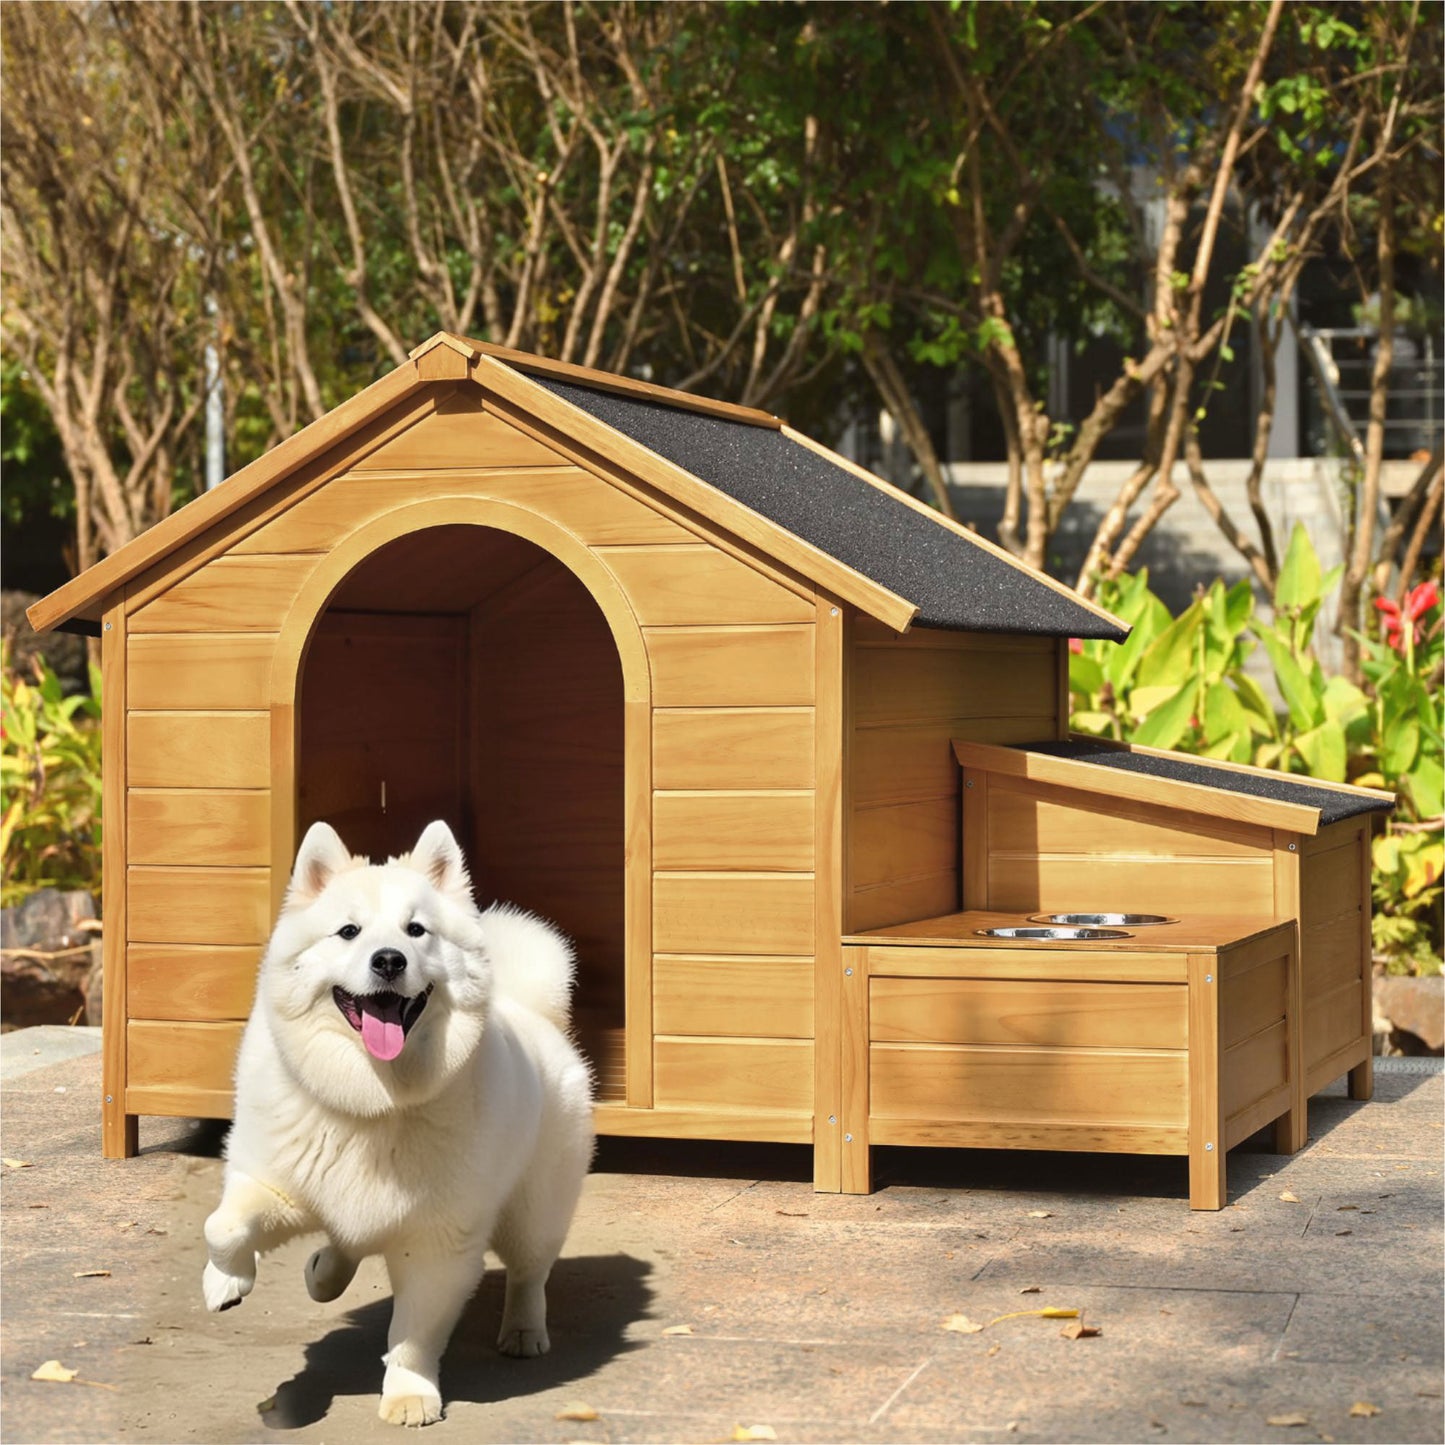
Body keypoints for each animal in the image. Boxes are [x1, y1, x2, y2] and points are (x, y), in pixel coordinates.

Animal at [200, 820, 595, 1427]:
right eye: (348, 931)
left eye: (416, 931)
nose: (389, 960)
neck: (372, 1102)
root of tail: (536, 1013)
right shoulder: (274, 1181)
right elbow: (221, 1226)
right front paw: (226, 1279)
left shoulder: (438, 1243)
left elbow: (413, 1335)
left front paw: (410, 1394)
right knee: (345, 1241)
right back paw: (323, 1272)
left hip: (534, 1209)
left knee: (530, 1272)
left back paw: (523, 1330)